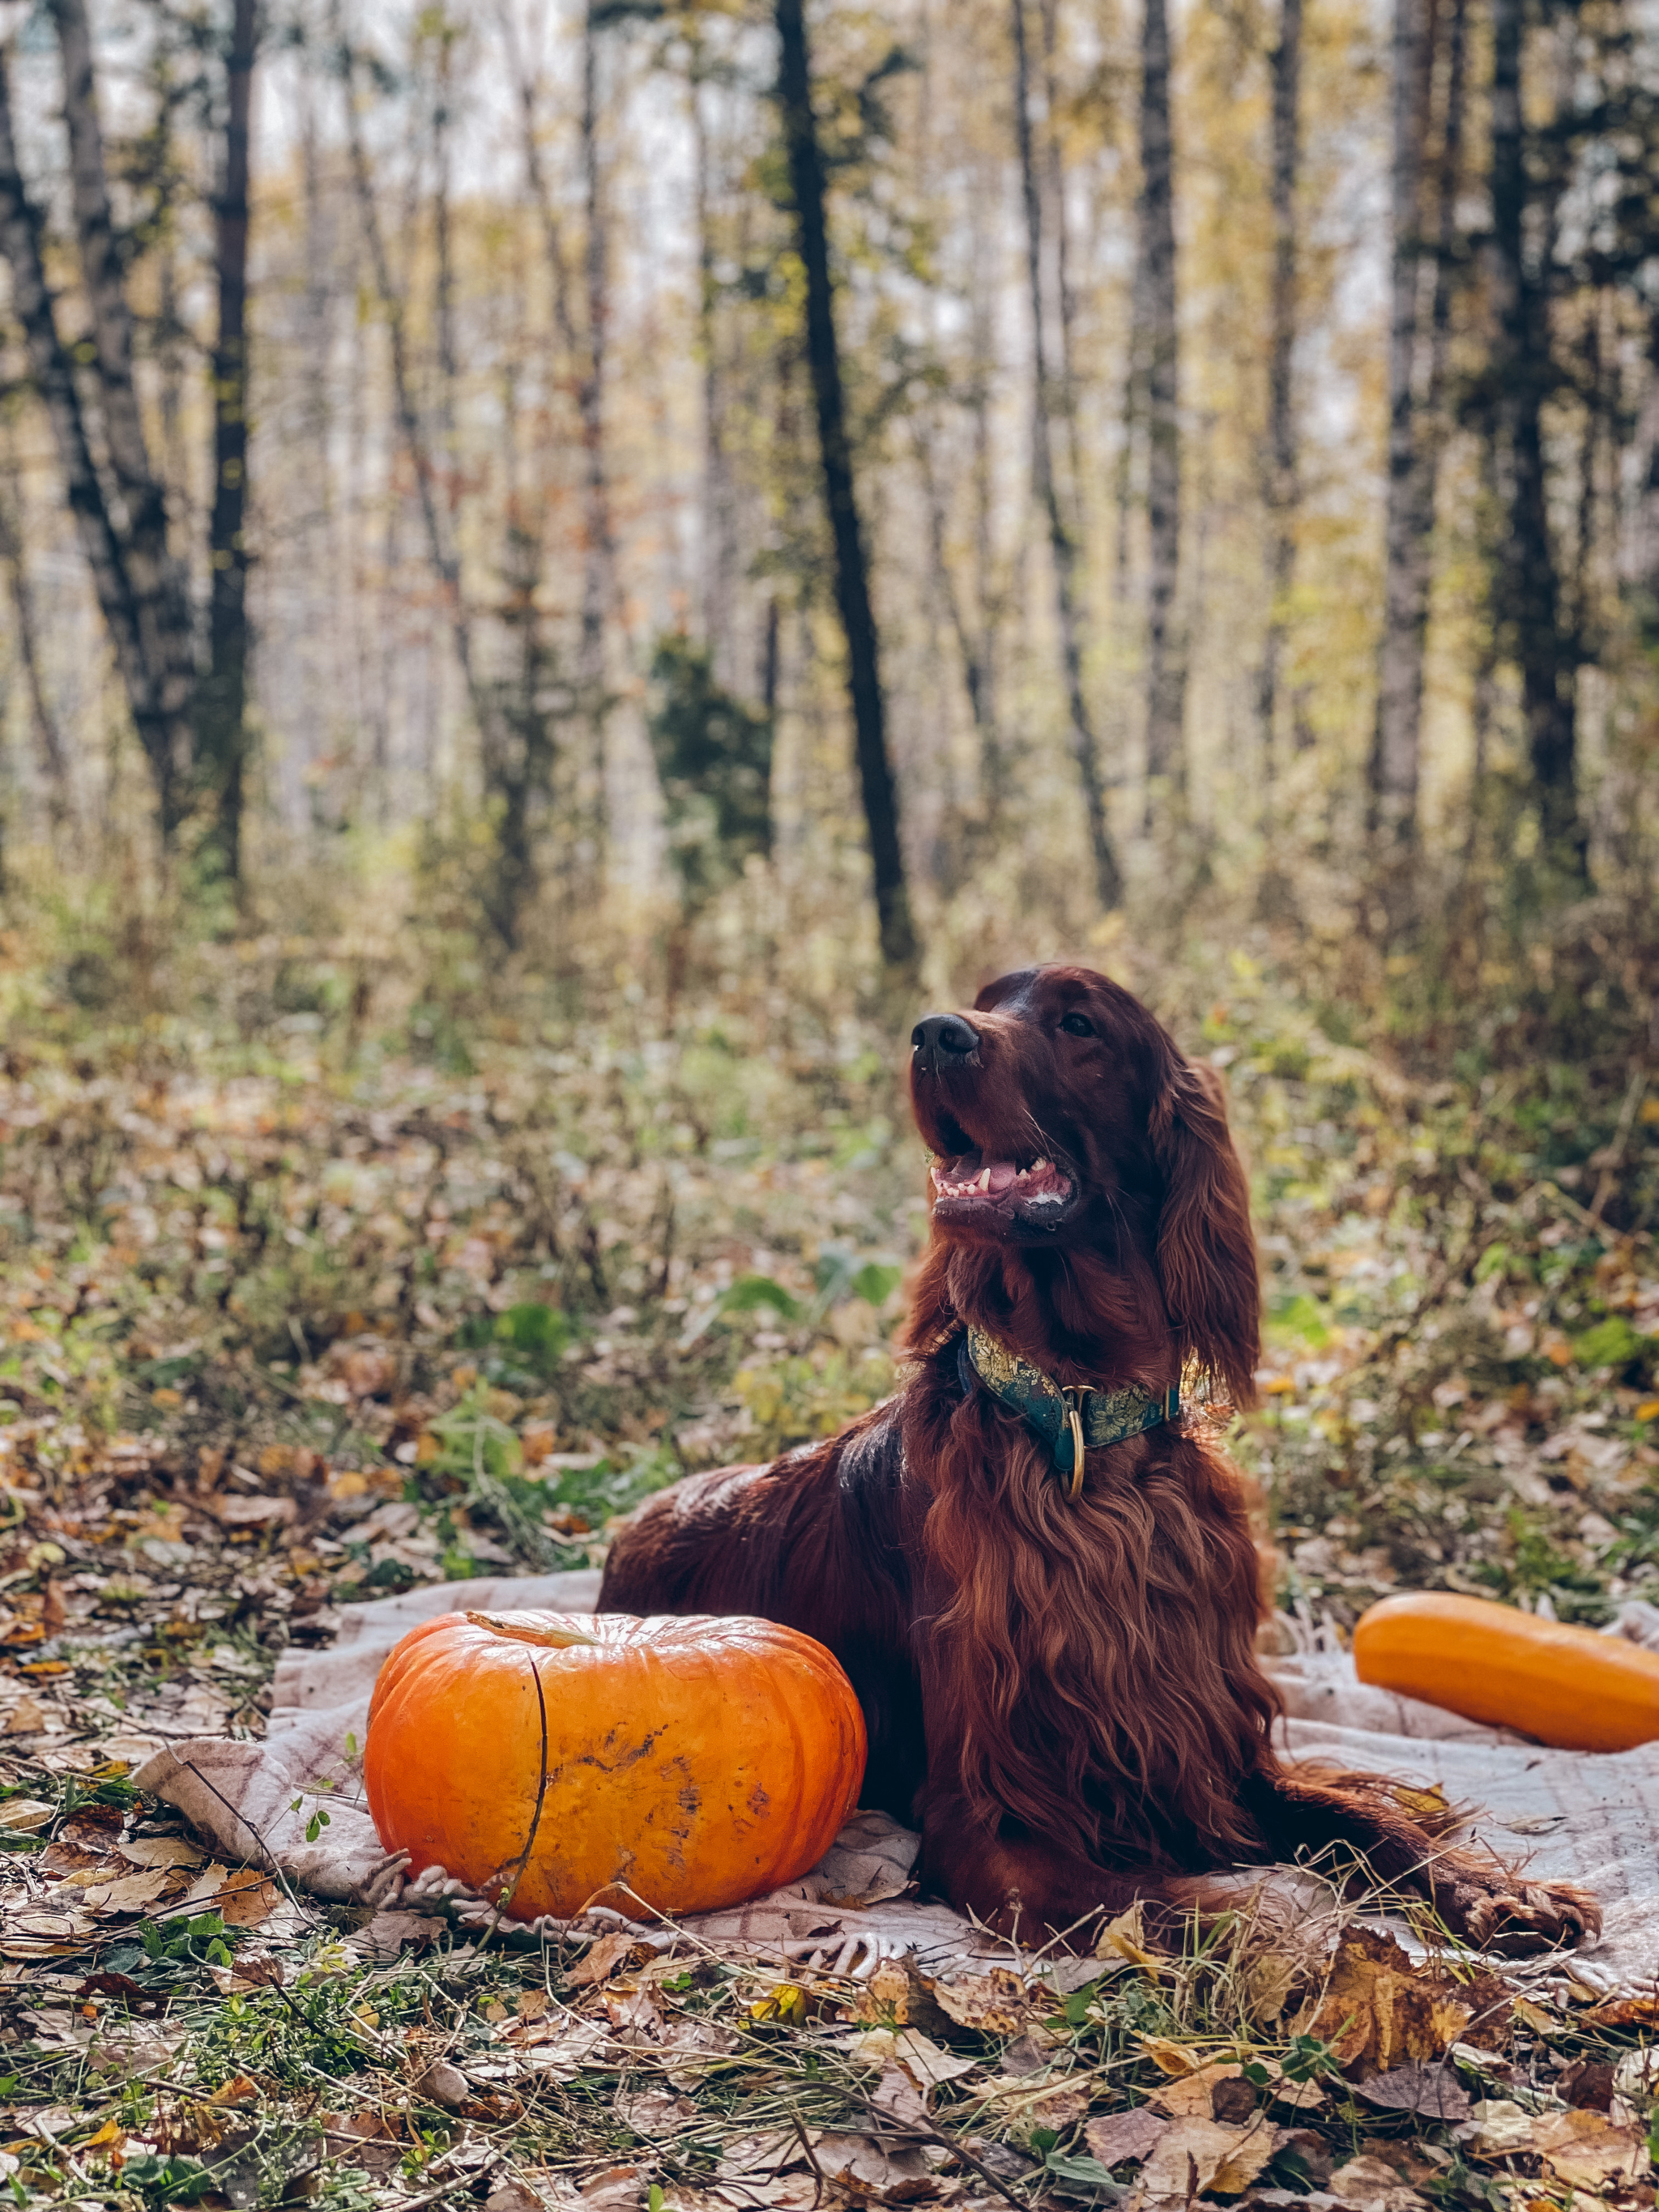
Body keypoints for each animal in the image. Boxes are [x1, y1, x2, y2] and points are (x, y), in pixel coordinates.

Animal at [601, 969, 1601, 1955]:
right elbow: (1160, 1901)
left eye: (1077, 1023)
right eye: (984, 1000)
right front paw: (1282, 1934)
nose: (932, 1033)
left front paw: (1491, 1890)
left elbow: (1359, 1817)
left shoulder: (1207, 1746)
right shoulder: (986, 1814)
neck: (1082, 1422)